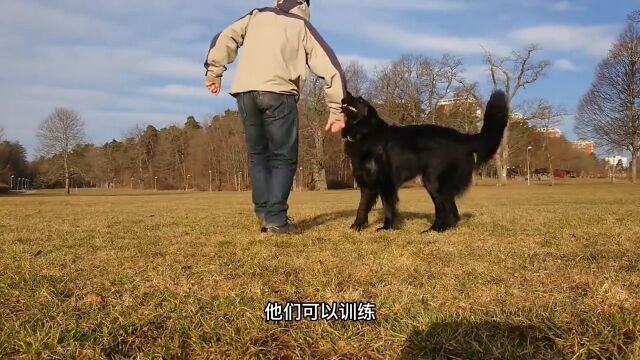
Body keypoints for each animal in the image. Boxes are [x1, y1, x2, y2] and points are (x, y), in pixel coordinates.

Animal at [342, 90, 508, 233]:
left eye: (360, 100)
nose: (346, 93)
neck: (366, 133)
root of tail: (463, 138)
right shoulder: (366, 185)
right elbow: (362, 207)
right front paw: (356, 226)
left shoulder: (387, 183)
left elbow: (388, 207)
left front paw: (387, 228)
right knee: (452, 213)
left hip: (433, 181)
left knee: (446, 211)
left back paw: (435, 230)